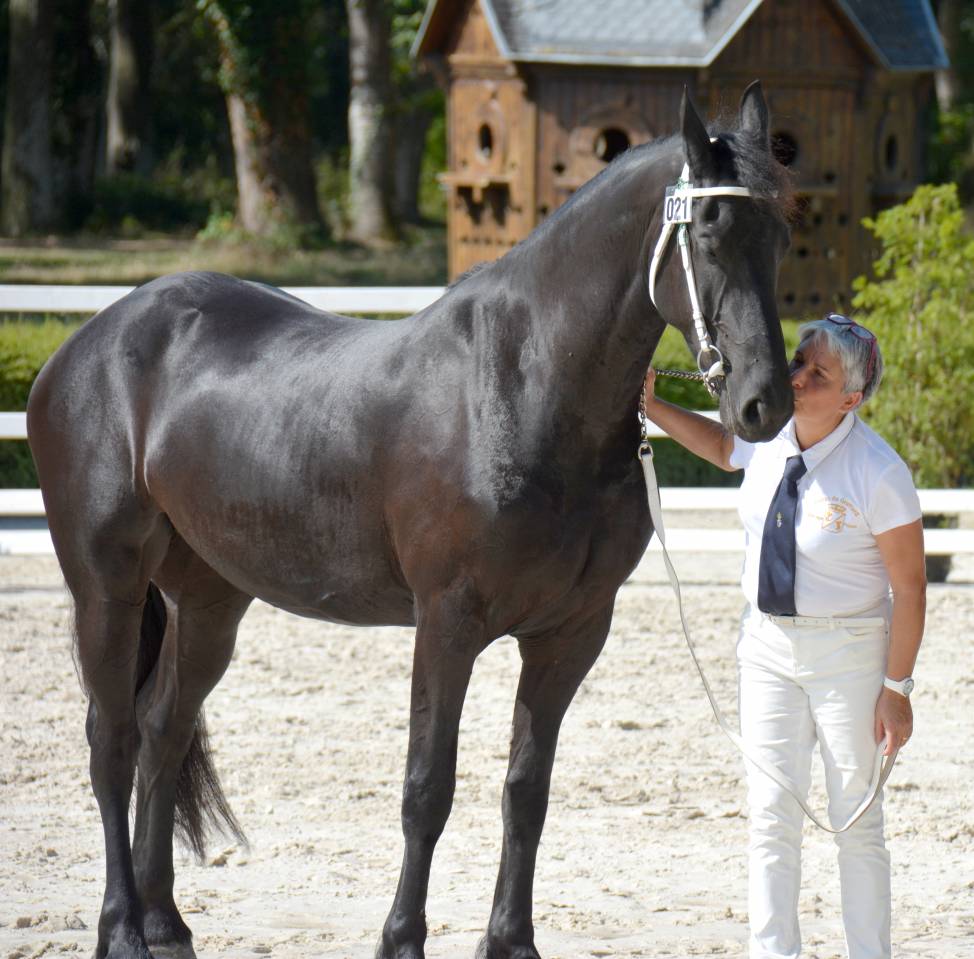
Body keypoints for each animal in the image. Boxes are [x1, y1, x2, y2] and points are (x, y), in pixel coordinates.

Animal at [27, 81, 793, 959]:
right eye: (710, 230)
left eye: (781, 233)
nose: (764, 404)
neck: (523, 386)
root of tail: (91, 340)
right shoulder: (448, 622)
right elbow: (428, 788)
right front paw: (401, 938)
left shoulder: (570, 633)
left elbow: (527, 789)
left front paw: (512, 941)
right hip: (107, 588)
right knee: (112, 741)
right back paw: (121, 925)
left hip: (210, 598)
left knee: (162, 729)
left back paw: (165, 921)